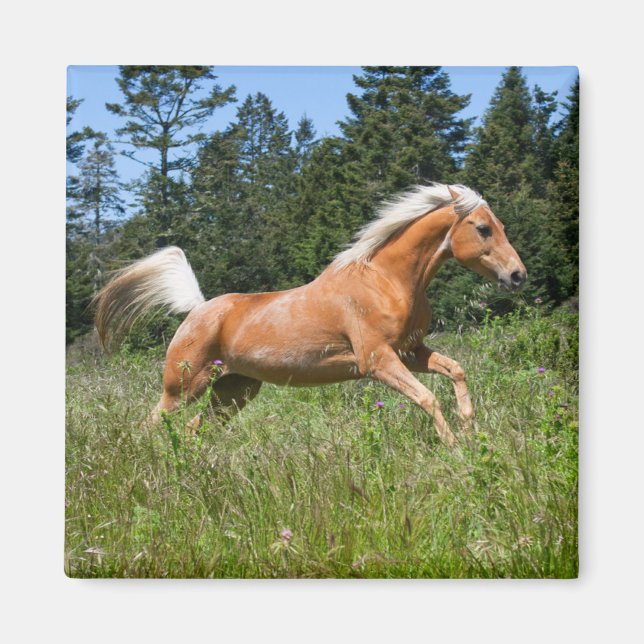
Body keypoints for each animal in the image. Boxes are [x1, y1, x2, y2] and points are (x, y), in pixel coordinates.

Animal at [94, 183, 526, 447]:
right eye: (483, 229)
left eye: (502, 225)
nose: (518, 275)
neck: (386, 280)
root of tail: (198, 308)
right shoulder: (378, 361)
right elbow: (428, 399)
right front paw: (455, 449)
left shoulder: (411, 352)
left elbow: (456, 371)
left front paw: (470, 431)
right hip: (183, 388)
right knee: (152, 425)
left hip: (234, 391)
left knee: (192, 429)